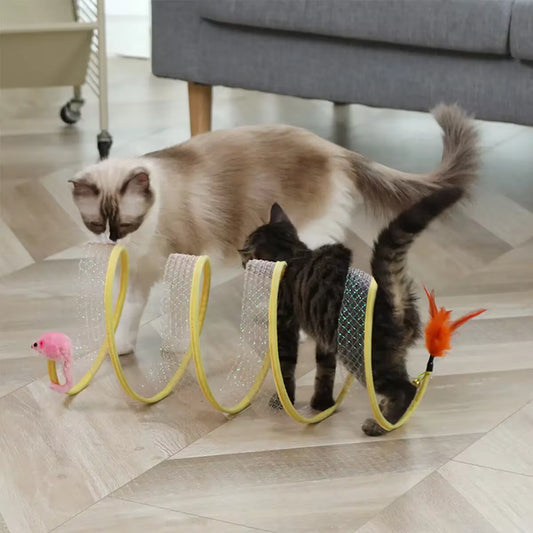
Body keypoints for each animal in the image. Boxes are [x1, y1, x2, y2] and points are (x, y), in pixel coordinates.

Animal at [70, 104, 478, 354]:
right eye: (96, 224)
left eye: (126, 223)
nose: (111, 239)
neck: (142, 240)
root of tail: (334, 148)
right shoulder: (138, 275)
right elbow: (131, 314)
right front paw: (122, 346)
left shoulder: (183, 264)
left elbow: (177, 311)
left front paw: (175, 348)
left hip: (304, 234)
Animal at [239, 185, 464, 434]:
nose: (243, 262)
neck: (294, 253)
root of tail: (393, 302)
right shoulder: (325, 336)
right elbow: (325, 371)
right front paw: (322, 403)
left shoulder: (285, 327)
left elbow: (286, 367)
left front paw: (282, 400)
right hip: (388, 354)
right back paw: (385, 414)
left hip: (369, 360)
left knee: (406, 389)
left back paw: (379, 426)